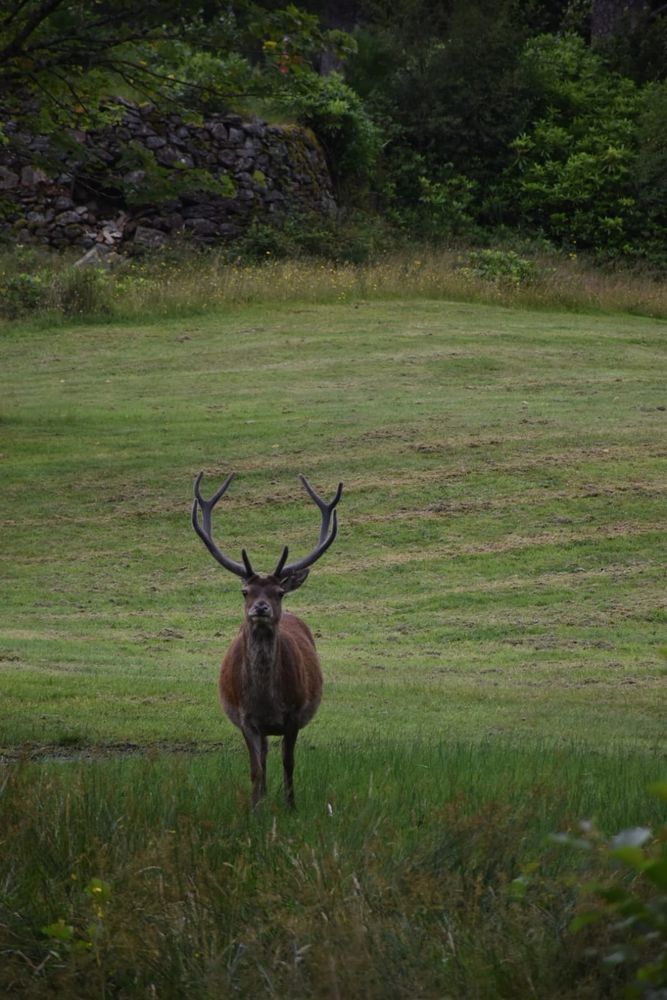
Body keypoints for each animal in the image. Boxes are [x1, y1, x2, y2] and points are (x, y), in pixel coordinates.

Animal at [192, 471, 343, 808]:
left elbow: (288, 762)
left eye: (279, 592)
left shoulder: (294, 714)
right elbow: (255, 768)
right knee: (262, 757)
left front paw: (290, 806)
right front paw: (255, 808)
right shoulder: (246, 718)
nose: (260, 608)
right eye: (245, 591)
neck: (265, 699)